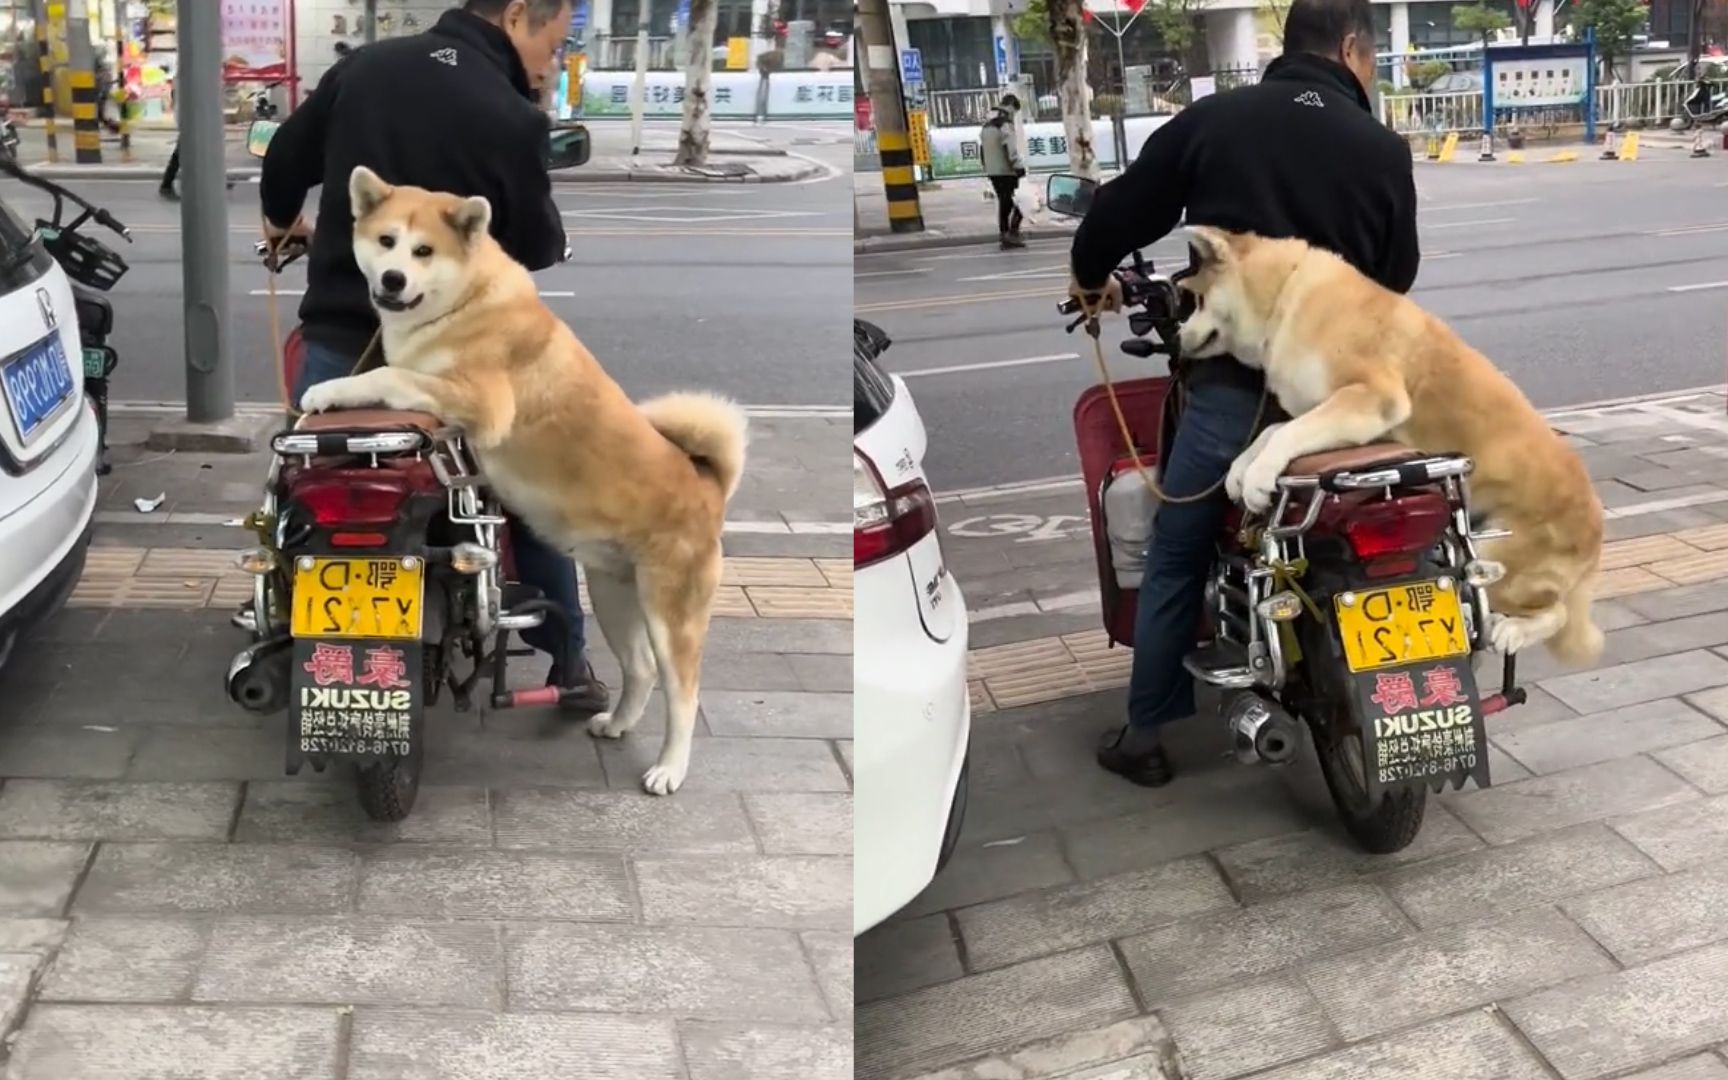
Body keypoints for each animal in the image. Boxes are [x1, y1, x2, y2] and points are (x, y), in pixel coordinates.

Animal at [300, 168, 746, 791]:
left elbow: (389, 374)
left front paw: (329, 390)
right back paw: (616, 723)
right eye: (386, 242)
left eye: (423, 251)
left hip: (669, 610)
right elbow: (394, 371)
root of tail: (706, 485)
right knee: (642, 669)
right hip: (614, 593)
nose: (392, 279)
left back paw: (668, 769)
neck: (464, 304)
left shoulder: (481, 403)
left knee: (683, 692)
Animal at [1175, 224, 1603, 667]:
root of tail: (1596, 531)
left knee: (1556, 613)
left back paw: (1512, 630)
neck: (1285, 295)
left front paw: (1258, 477)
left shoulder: (1370, 399)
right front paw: (1241, 469)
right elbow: (1272, 431)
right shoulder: (1334, 414)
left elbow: (1287, 433)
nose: (1178, 338)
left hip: (1499, 555)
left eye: (1199, 300)